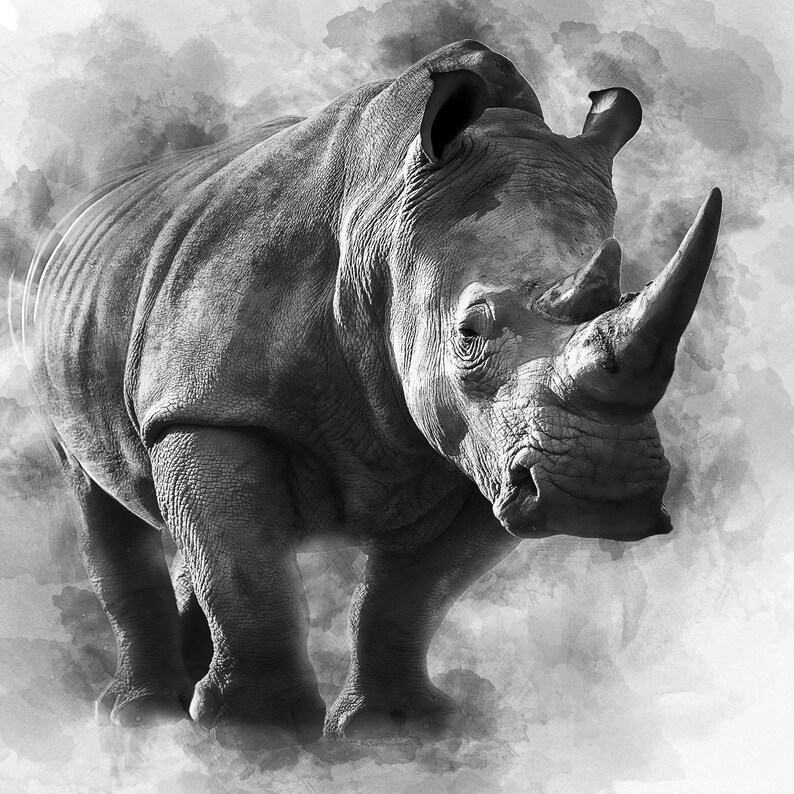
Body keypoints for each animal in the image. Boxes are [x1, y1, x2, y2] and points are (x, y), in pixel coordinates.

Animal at [21, 40, 721, 749]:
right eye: (469, 334)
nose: (602, 492)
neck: (383, 227)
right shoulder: (212, 408)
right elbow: (247, 569)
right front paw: (257, 736)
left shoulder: (486, 455)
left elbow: (411, 594)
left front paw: (394, 731)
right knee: (95, 492)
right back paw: (142, 717)